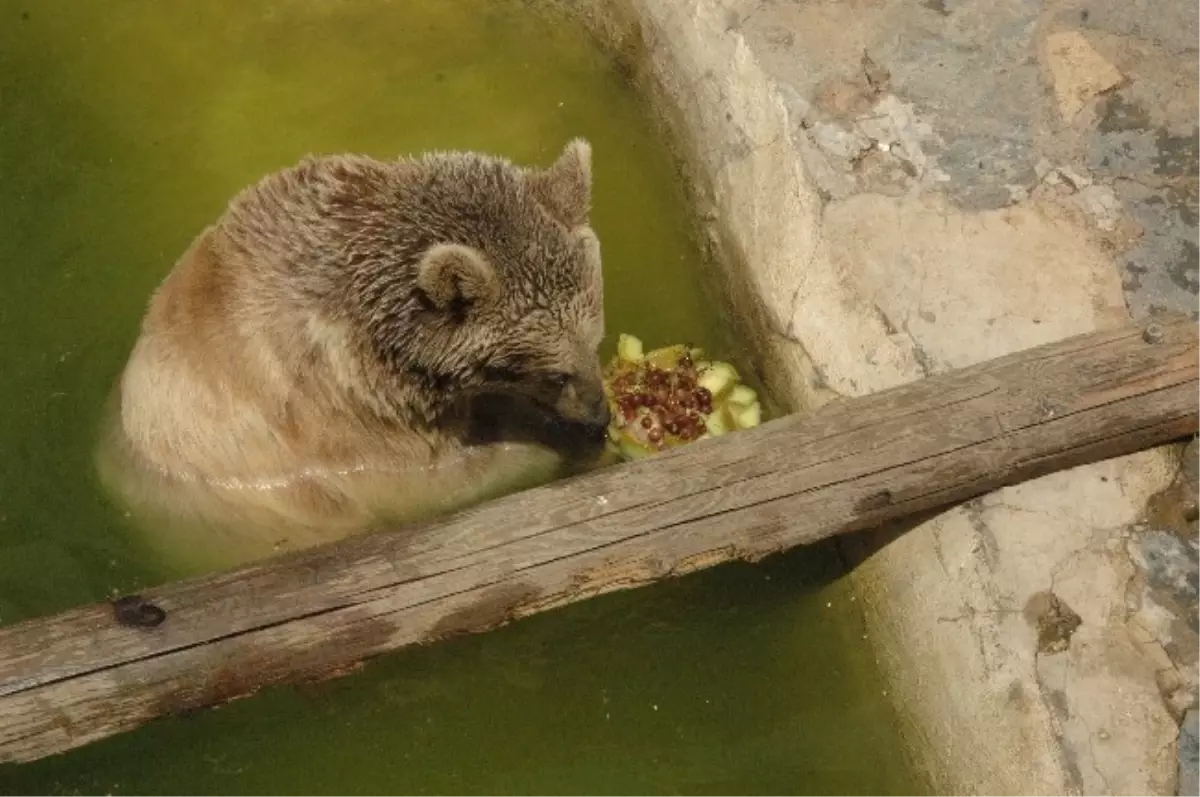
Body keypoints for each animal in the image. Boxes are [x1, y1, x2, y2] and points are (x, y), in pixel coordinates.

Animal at [96, 138, 609, 573]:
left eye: (596, 340)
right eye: (556, 373)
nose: (599, 413)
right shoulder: (335, 414)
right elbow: (431, 480)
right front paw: (552, 441)